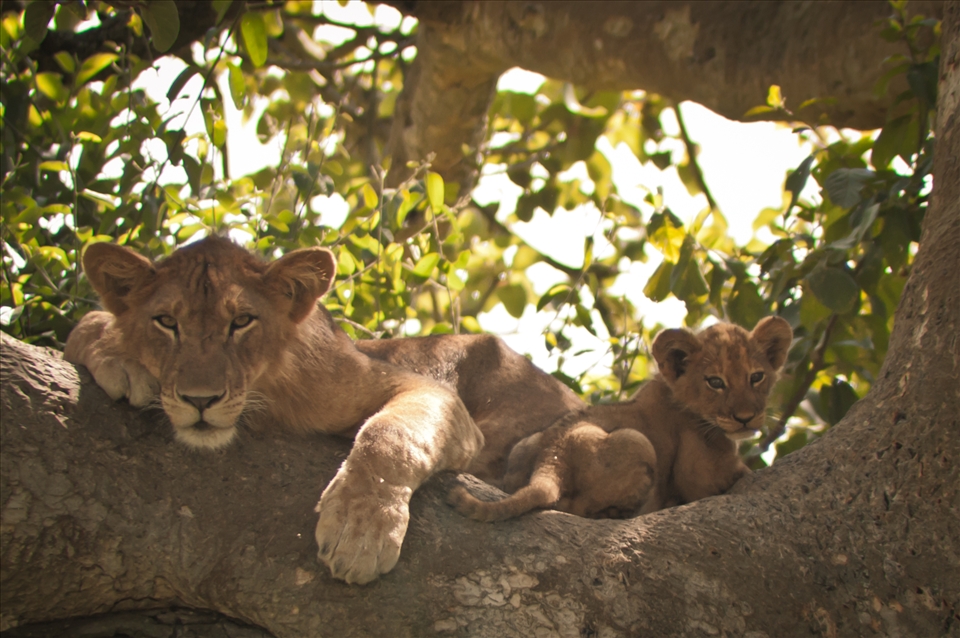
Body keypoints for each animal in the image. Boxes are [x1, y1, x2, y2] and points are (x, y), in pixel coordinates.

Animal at [64, 237, 584, 585]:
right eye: (166, 322)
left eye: (242, 321)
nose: (199, 399)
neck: (263, 398)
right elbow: (88, 321)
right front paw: (118, 357)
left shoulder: (419, 388)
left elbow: (390, 436)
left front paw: (360, 533)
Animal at [448, 317, 793, 521]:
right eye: (715, 382)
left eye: (757, 377)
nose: (747, 418)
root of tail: (551, 459)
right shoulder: (700, 474)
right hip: (637, 442)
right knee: (575, 508)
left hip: (526, 444)